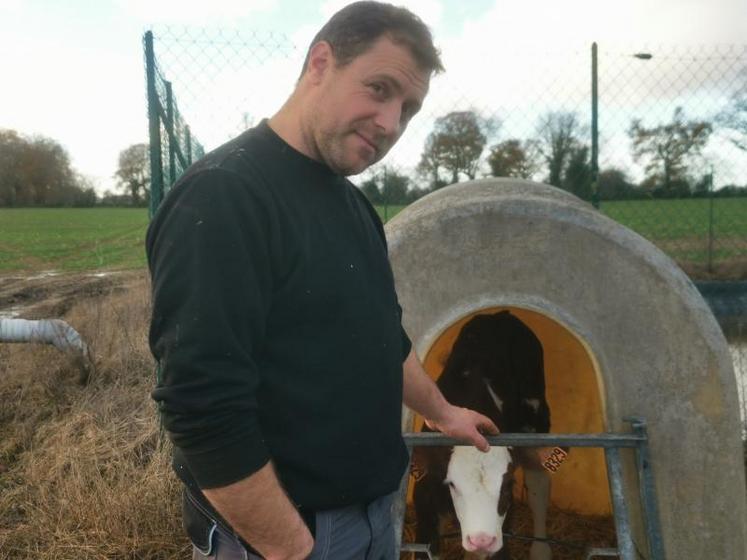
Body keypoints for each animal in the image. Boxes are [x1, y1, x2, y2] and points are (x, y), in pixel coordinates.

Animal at [414, 310, 556, 560]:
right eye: (452, 484)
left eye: (507, 485)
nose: (482, 539)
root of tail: (500, 314)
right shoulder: (425, 499)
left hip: (536, 415)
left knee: (538, 482)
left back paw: (541, 550)